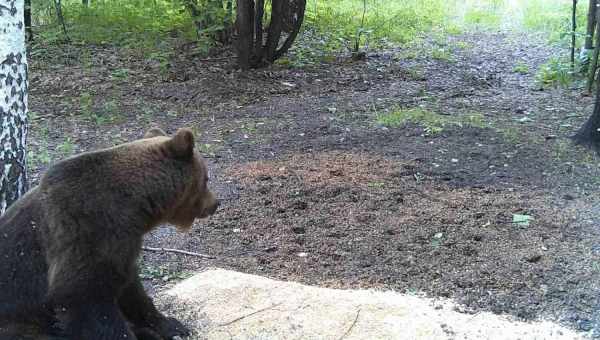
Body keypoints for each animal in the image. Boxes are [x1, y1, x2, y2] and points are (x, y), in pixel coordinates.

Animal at [0, 128, 219, 340]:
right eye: (206, 178)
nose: (216, 203)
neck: (135, 207)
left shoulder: (124, 245)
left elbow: (132, 289)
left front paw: (171, 325)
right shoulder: (88, 229)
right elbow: (83, 297)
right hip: (20, 319)